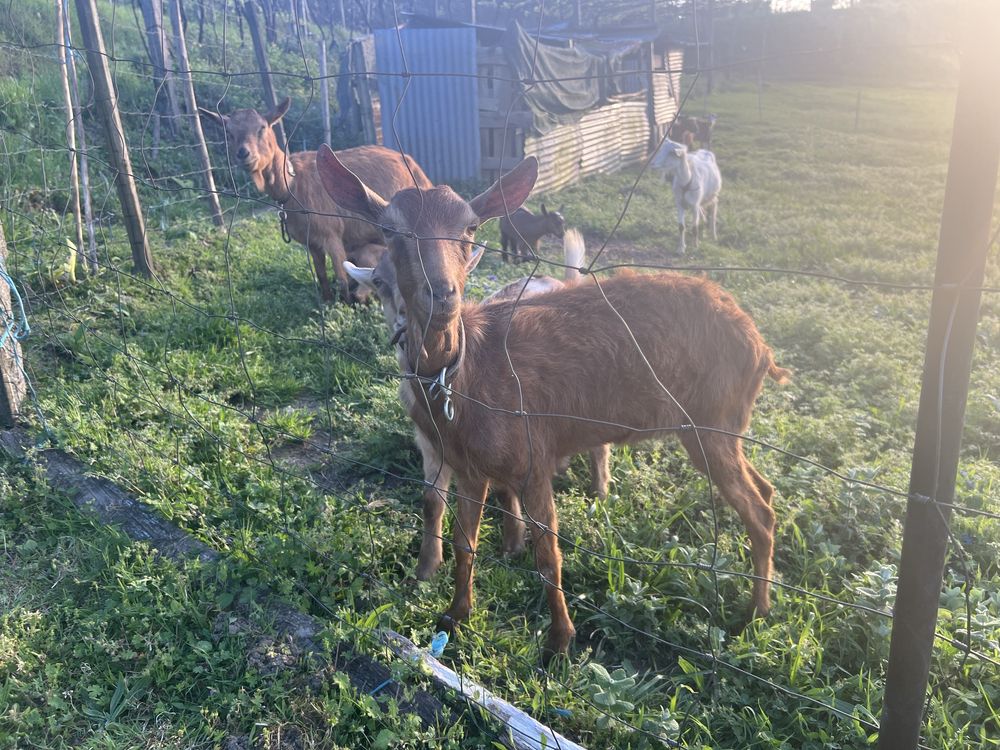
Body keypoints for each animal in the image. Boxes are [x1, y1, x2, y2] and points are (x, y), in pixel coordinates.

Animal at [199, 98, 430, 304]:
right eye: (229, 133)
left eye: (262, 127)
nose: (243, 154)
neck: (292, 186)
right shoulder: (312, 242)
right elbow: (321, 275)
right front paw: (327, 302)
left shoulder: (332, 235)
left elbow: (341, 277)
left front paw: (344, 306)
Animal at [316, 147, 784, 664]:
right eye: (391, 229)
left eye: (470, 227)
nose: (441, 294)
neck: (469, 376)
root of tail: (762, 348)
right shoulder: (469, 467)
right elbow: (464, 542)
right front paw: (454, 616)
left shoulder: (533, 456)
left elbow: (548, 556)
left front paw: (559, 641)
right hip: (724, 426)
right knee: (766, 491)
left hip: (711, 421)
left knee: (759, 511)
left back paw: (756, 613)